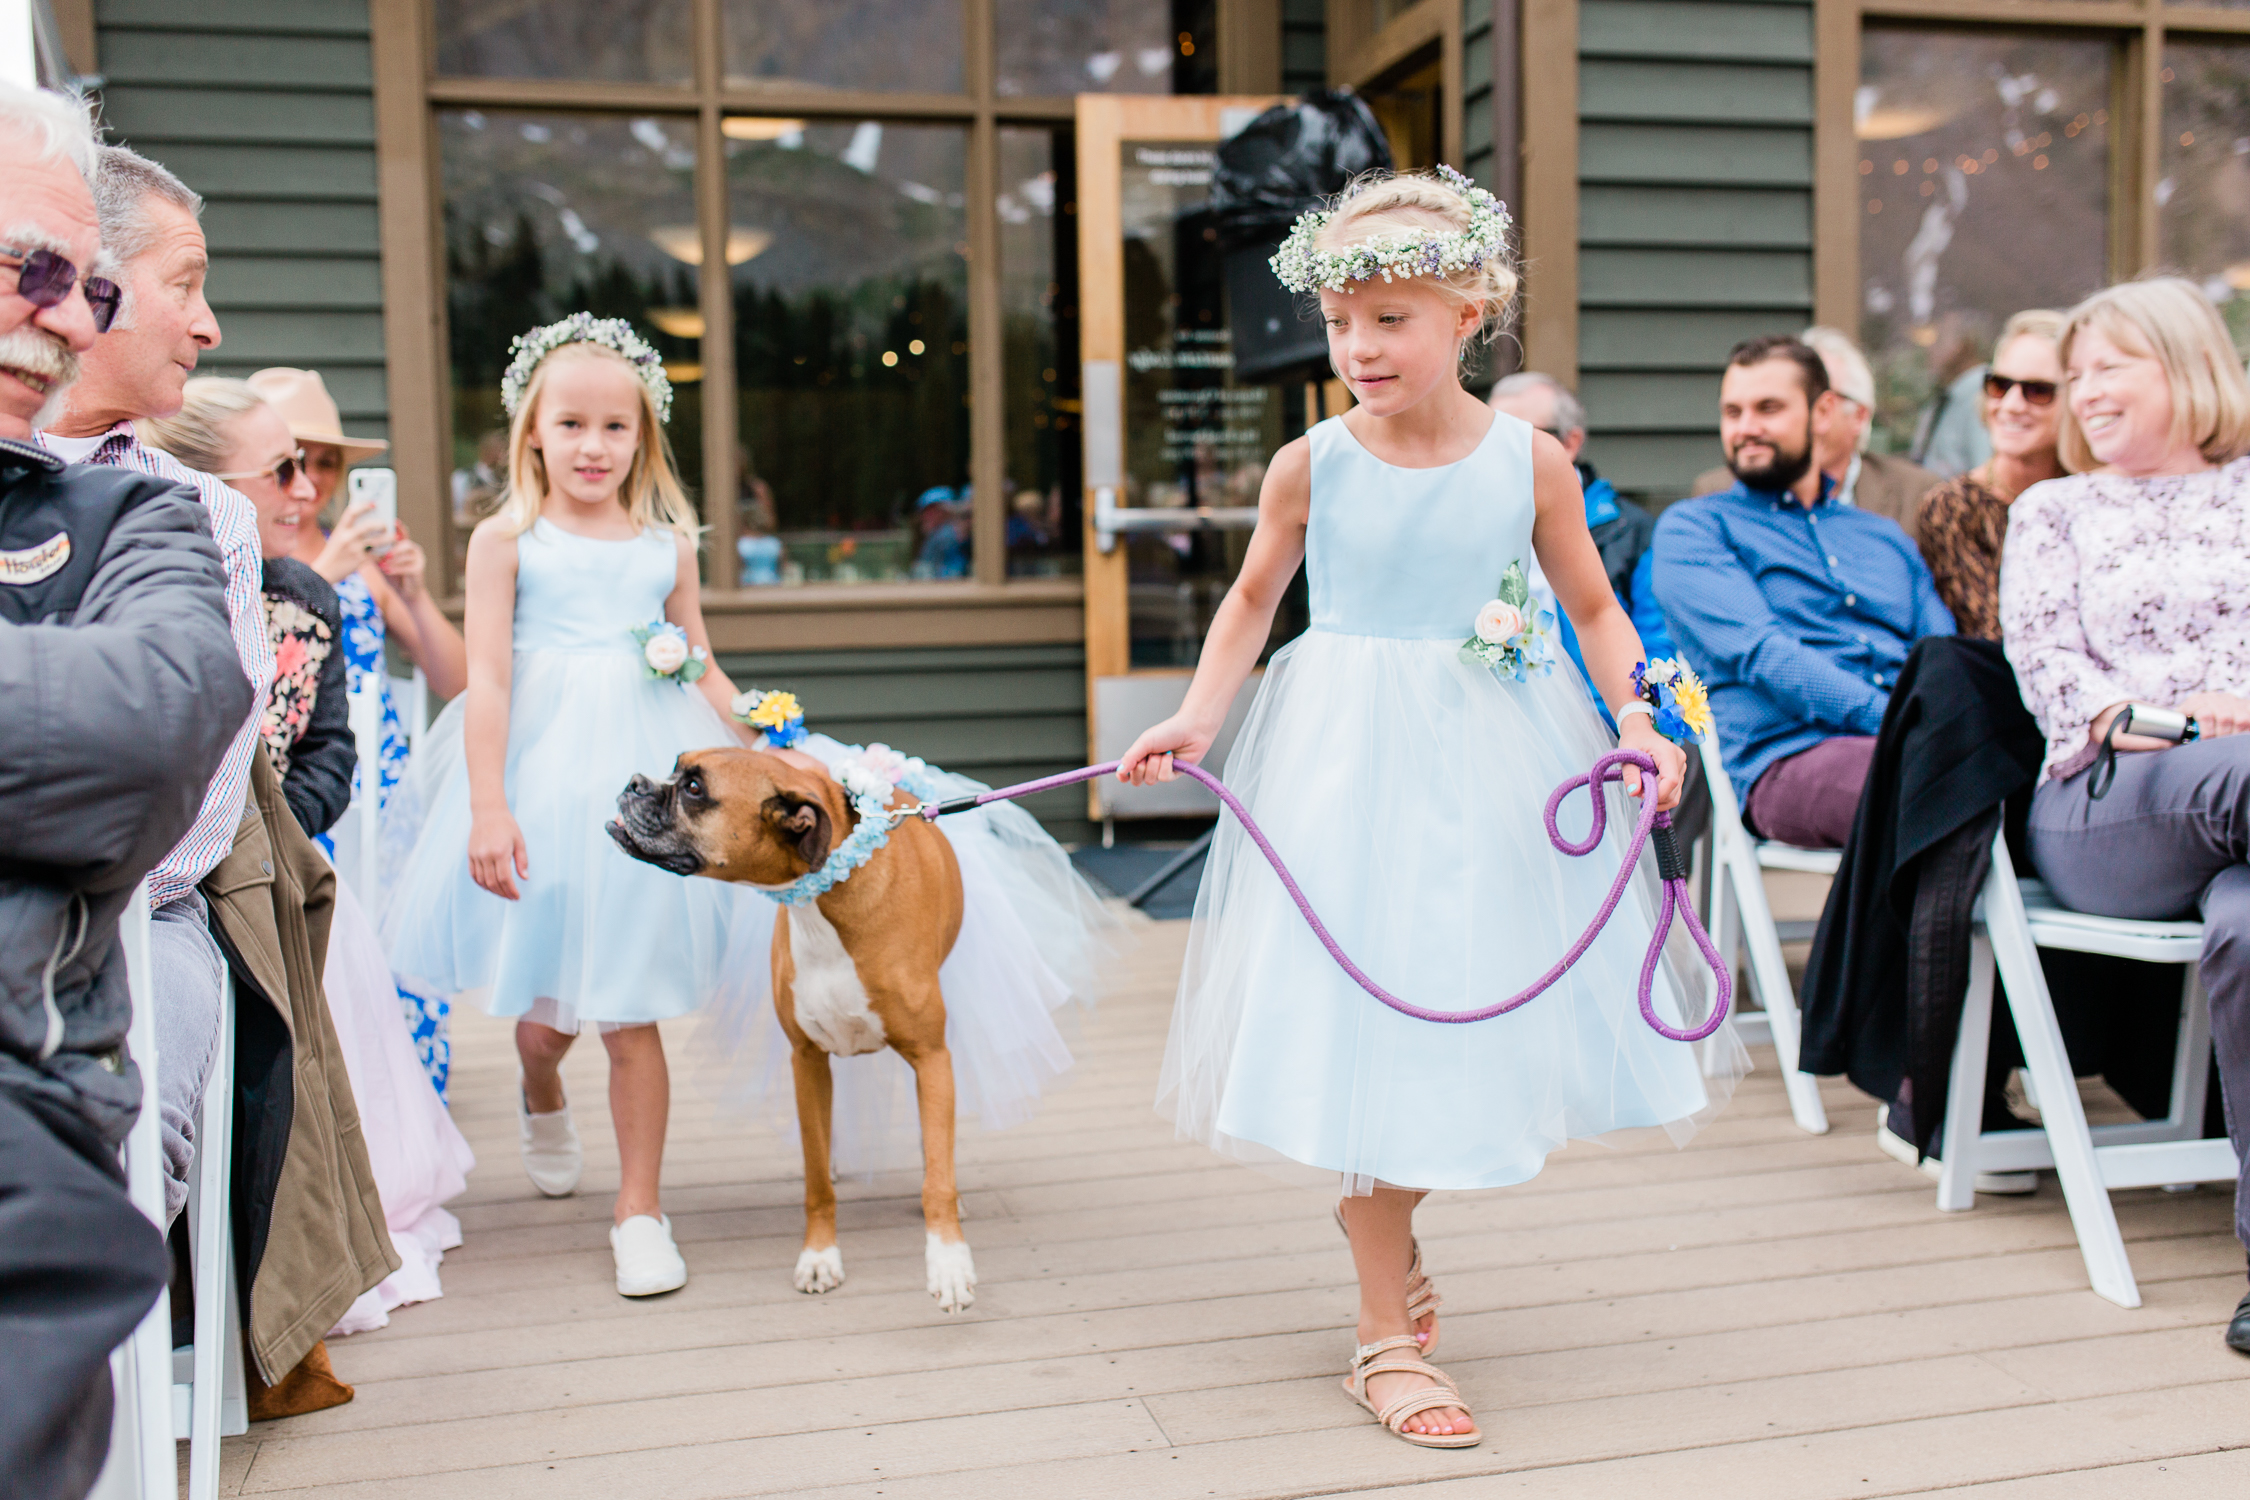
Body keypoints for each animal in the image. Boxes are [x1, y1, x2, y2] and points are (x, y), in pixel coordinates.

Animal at [607, 751, 976, 1313]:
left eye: (693, 788)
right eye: (677, 769)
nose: (634, 782)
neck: (828, 899)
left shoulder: (931, 1055)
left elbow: (937, 1178)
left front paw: (949, 1263)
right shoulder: (807, 1060)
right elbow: (816, 1177)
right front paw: (820, 1257)